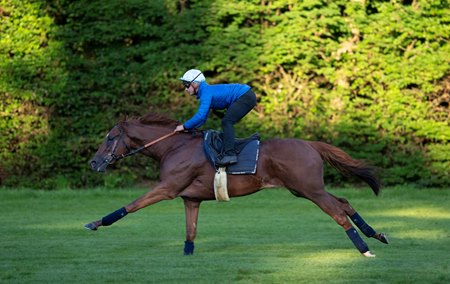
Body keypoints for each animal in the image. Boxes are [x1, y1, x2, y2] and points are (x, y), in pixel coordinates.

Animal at [86, 113, 388, 258]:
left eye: (110, 137)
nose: (94, 162)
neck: (173, 147)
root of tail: (311, 144)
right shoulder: (191, 199)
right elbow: (191, 232)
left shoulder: (167, 188)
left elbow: (131, 205)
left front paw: (95, 223)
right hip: (304, 189)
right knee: (344, 203)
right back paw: (377, 234)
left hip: (310, 190)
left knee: (338, 212)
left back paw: (365, 248)